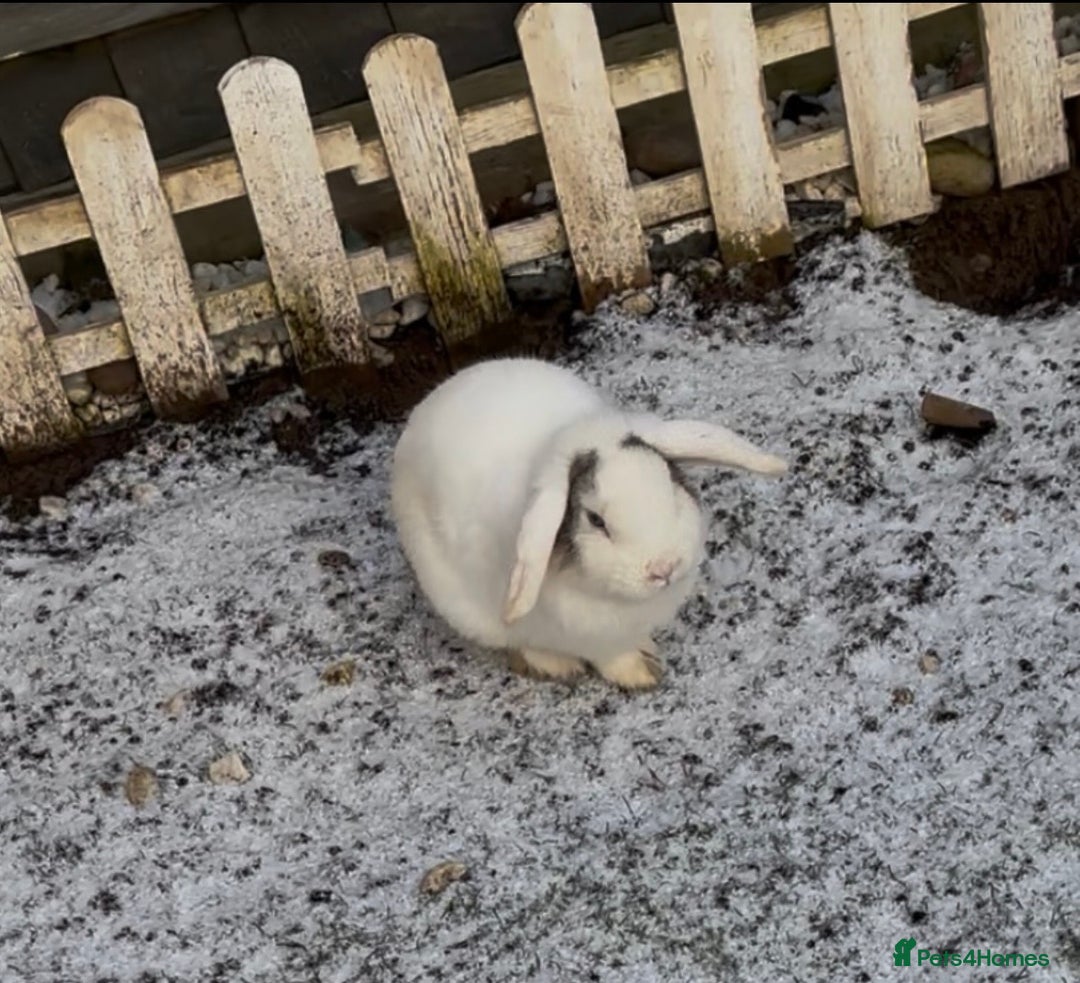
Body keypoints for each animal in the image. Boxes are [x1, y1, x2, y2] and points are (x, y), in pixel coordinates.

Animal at [391, 357, 787, 690]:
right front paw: (643, 674)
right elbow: (612, 658)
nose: (663, 568)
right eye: (596, 521)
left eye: (669, 484)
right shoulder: (594, 638)